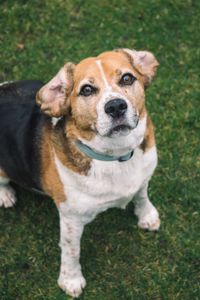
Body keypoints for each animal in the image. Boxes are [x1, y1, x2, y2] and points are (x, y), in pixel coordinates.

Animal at [0, 49, 159, 298]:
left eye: (127, 78)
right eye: (87, 90)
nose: (116, 106)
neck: (116, 156)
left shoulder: (143, 175)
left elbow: (142, 194)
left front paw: (147, 216)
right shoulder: (71, 219)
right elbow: (71, 251)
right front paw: (71, 280)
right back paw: (5, 194)